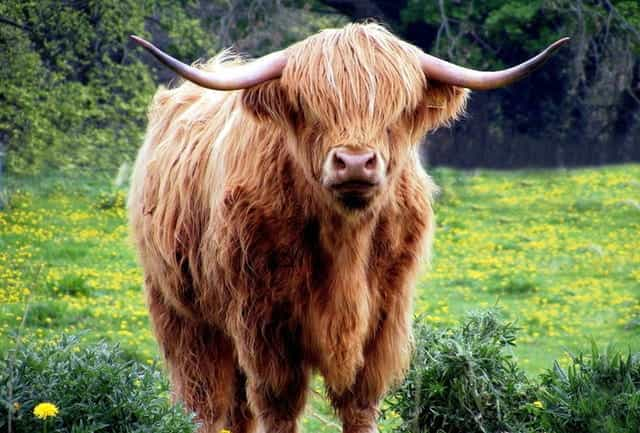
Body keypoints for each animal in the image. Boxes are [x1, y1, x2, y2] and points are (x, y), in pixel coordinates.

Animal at [127, 22, 568, 432]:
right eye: (310, 106)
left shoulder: (383, 320)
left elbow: (359, 403)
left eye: (397, 110)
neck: (346, 243)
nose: (355, 162)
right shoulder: (263, 321)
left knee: (235, 408)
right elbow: (278, 404)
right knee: (203, 399)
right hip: (182, 314)